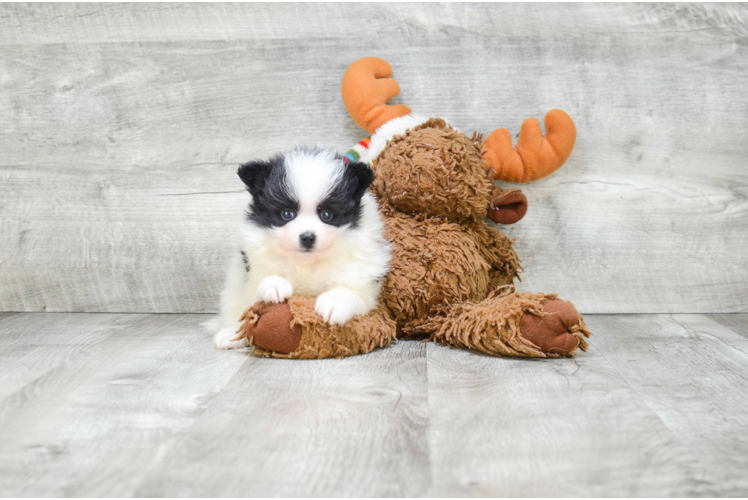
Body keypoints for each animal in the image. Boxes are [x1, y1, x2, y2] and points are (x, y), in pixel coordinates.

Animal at [207, 146, 388, 348]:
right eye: (287, 214)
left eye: (327, 215)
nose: (307, 237)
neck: (306, 263)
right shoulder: (251, 268)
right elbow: (259, 284)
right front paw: (274, 285)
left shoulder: (363, 280)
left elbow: (354, 292)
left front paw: (334, 303)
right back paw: (229, 334)